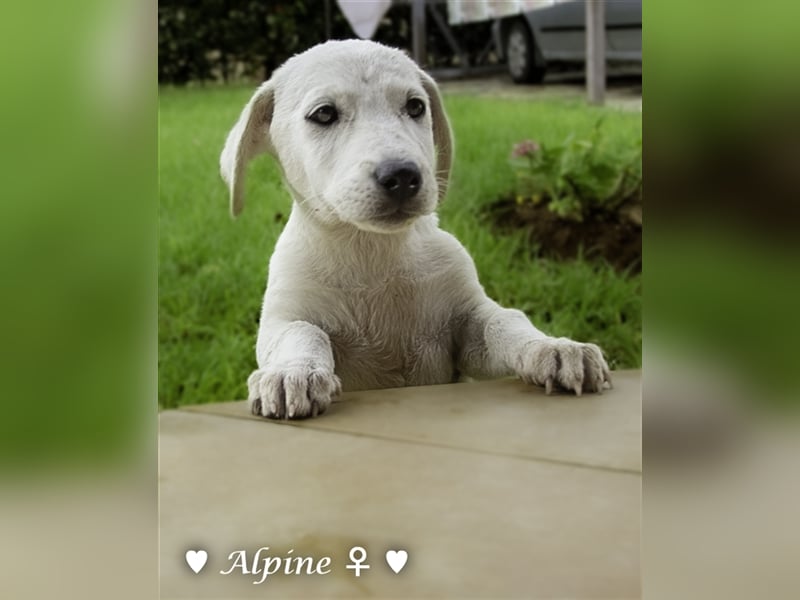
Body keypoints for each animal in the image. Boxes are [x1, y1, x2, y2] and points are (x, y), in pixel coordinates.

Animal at [222, 39, 608, 420]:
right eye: (324, 114)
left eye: (415, 106)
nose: (402, 176)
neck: (373, 253)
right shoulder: (284, 316)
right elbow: (301, 332)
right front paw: (292, 372)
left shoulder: (468, 329)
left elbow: (505, 322)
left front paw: (553, 347)